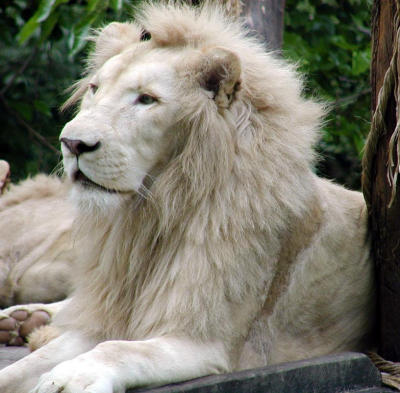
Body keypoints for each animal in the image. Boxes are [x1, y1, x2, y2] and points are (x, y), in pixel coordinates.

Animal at [0, 3, 376, 392]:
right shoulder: (107, 314)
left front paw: (71, 377)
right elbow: (25, 366)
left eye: (146, 99)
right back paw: (21, 317)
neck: (151, 213)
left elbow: (118, 349)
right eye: (94, 89)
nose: (72, 143)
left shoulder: (203, 341)